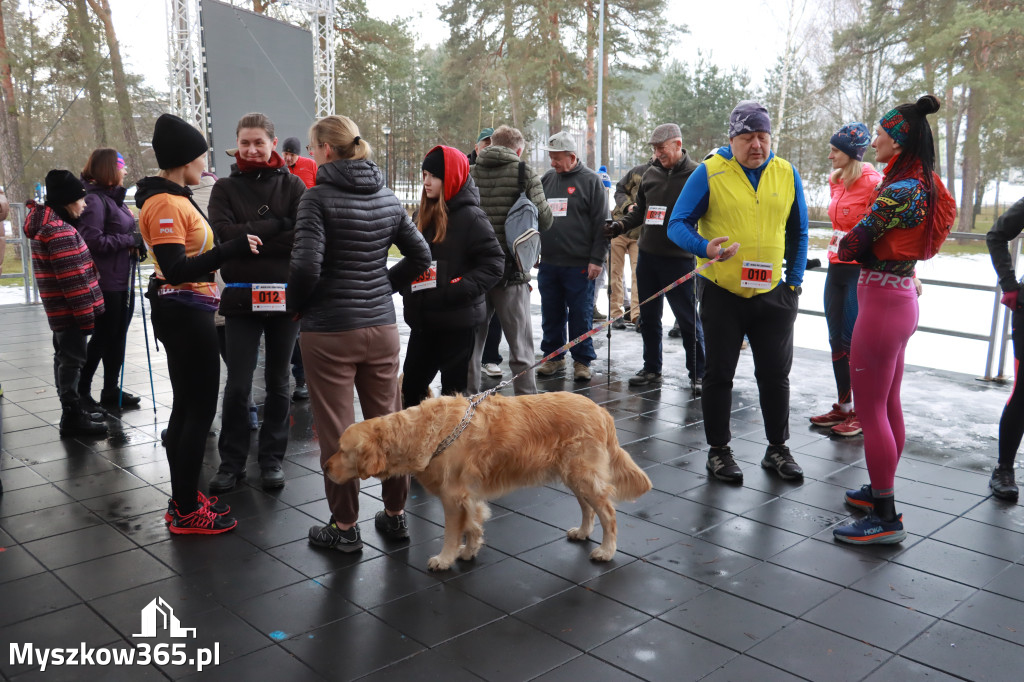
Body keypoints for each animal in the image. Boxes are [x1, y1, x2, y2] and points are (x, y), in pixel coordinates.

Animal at [323, 387, 651, 569]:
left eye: (342, 450)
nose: (325, 467)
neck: (425, 433)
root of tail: (602, 412)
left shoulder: (453, 496)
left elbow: (453, 532)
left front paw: (444, 559)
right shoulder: (468, 495)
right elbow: (473, 525)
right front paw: (469, 551)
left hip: (582, 474)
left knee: (608, 513)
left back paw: (606, 551)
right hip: (573, 475)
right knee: (588, 509)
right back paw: (582, 532)